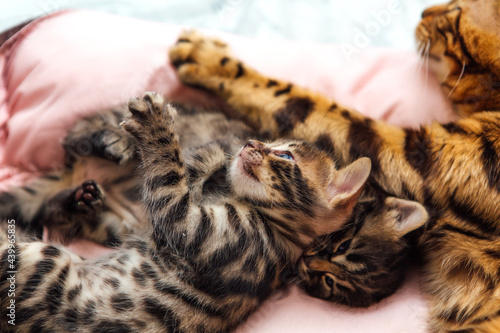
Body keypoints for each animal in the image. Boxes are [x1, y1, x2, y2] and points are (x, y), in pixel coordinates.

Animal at [0, 91, 370, 332]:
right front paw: (211, 154)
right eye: (267, 142)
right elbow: (188, 172)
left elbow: (171, 180)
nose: (250, 144)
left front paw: (172, 140)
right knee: (75, 140)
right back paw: (105, 155)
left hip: (43, 260)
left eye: (285, 156)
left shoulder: (193, 228)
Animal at [167, 0, 500, 330]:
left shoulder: (417, 156)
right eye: (455, 7)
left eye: (453, 15)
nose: (423, 13)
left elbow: (293, 99)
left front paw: (209, 60)